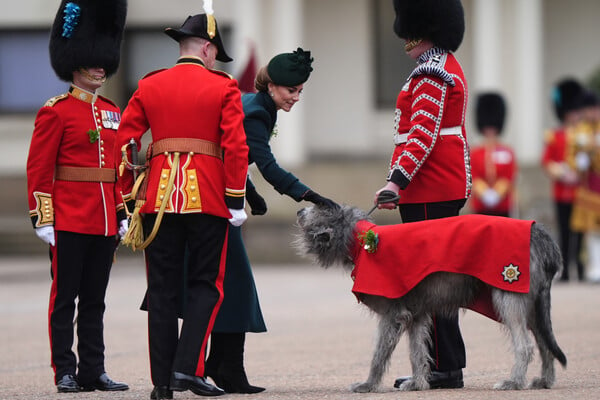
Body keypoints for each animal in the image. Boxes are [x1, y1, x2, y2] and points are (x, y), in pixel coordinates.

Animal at [296, 205, 568, 392]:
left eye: (319, 208)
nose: (299, 209)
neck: (364, 241)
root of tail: (539, 232)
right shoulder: (415, 314)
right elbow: (417, 351)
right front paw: (417, 383)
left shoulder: (393, 313)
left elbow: (379, 354)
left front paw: (368, 385)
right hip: (533, 302)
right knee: (543, 340)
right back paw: (544, 380)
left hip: (509, 292)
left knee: (525, 344)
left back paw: (514, 381)